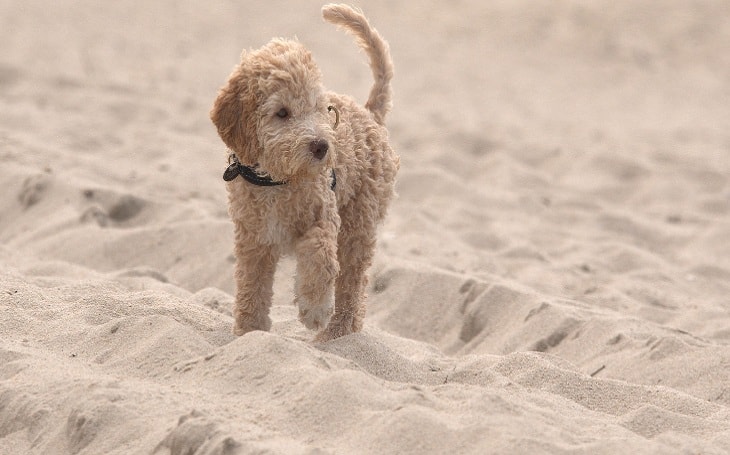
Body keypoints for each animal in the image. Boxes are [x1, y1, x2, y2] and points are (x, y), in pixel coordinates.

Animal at [208, 1, 400, 340]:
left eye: (321, 109)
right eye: (282, 112)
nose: (322, 146)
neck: (276, 181)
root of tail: (370, 114)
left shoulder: (323, 216)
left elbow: (320, 256)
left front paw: (314, 309)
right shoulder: (253, 239)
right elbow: (251, 286)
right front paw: (249, 331)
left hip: (358, 223)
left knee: (351, 284)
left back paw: (336, 333)